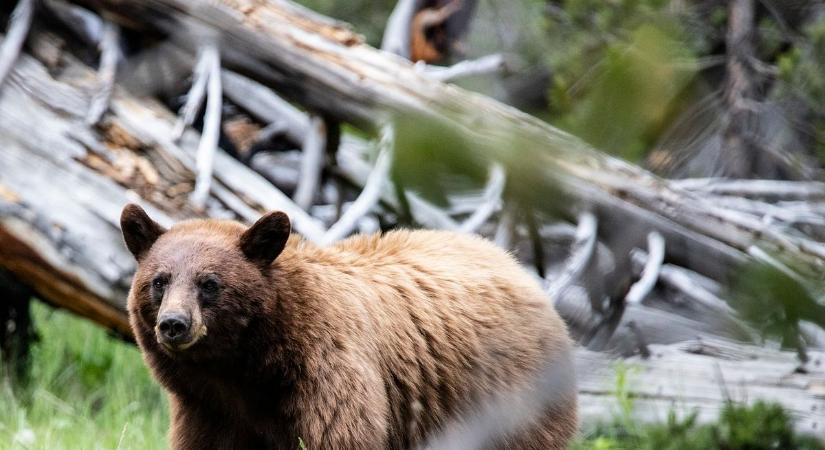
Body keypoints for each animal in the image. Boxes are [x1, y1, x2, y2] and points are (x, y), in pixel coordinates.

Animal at [119, 205, 576, 450]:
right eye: (159, 280)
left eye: (209, 283)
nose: (174, 324)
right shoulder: (209, 409)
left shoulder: (328, 371)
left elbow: (341, 434)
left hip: (511, 399)